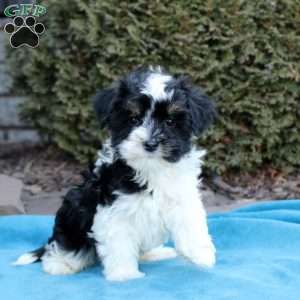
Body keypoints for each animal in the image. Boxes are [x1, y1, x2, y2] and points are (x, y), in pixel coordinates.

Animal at [14, 65, 216, 282]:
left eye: (170, 121)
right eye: (134, 119)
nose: (150, 144)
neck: (150, 169)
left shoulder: (182, 196)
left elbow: (192, 224)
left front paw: (202, 255)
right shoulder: (114, 210)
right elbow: (120, 243)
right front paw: (125, 275)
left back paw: (154, 253)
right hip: (72, 218)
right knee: (64, 246)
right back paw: (61, 264)